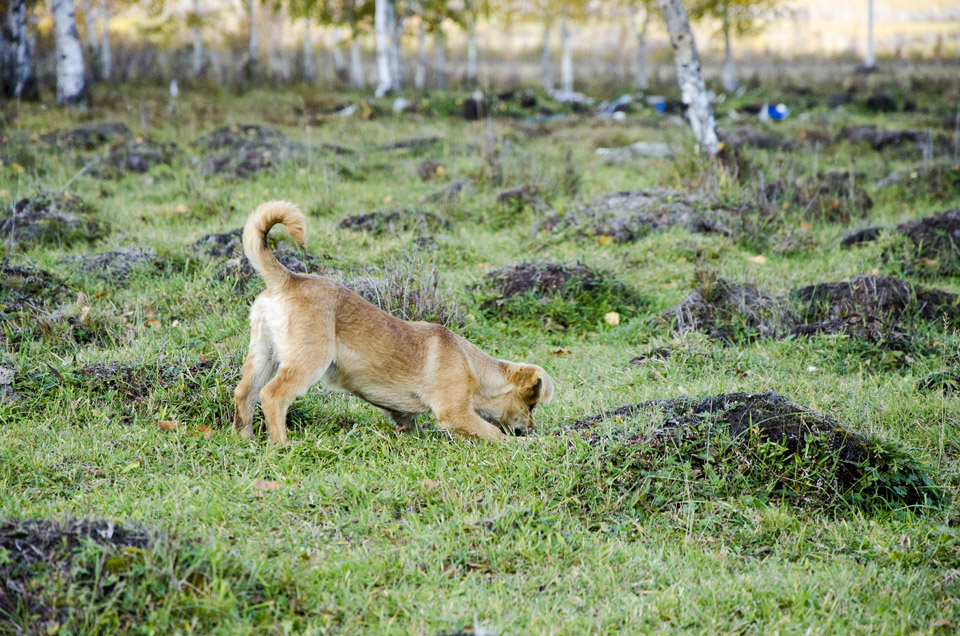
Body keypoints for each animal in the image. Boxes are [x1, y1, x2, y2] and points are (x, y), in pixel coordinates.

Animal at [230, 201, 556, 444]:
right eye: (531, 405)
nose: (532, 430)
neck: (473, 366)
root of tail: (287, 278)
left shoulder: (403, 412)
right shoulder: (455, 413)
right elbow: (494, 434)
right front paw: (524, 446)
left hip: (263, 354)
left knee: (244, 393)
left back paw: (245, 439)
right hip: (308, 361)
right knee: (272, 395)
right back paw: (281, 443)